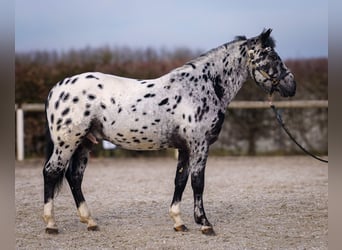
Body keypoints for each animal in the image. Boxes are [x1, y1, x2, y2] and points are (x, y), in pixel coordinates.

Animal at [42, 28, 296, 234]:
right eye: (272, 56)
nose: (291, 86)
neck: (203, 86)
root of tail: (57, 89)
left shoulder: (184, 148)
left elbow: (180, 181)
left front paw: (179, 222)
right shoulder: (199, 144)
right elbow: (198, 181)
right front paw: (204, 223)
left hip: (84, 143)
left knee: (74, 177)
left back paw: (90, 221)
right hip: (67, 142)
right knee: (52, 172)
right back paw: (51, 224)